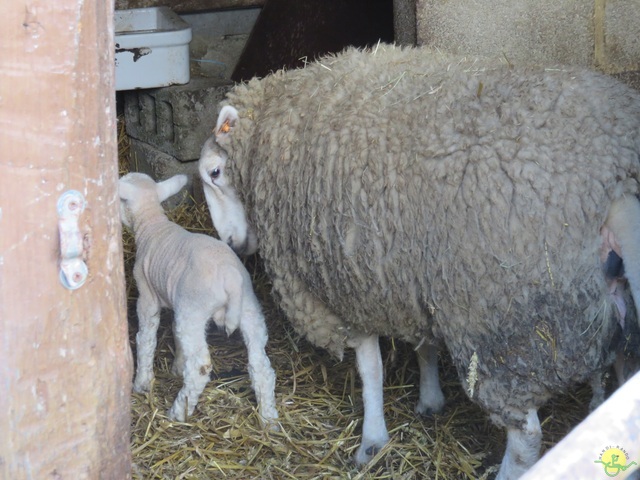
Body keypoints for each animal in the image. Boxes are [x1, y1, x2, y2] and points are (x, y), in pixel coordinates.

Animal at [119, 171, 278, 426]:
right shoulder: (178, 301)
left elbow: (146, 339)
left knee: (201, 367)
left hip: (195, 309)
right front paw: (177, 365)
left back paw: (178, 412)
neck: (152, 223)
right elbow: (175, 332)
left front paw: (142, 383)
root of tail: (230, 277)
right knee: (260, 365)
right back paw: (269, 419)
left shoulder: (147, 297)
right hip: (248, 307)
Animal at [199, 43, 640, 478]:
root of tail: (617, 173)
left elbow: (371, 369)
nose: (231, 243)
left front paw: (372, 440)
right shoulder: (408, 272)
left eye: (215, 173)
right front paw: (429, 398)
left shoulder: (346, 286)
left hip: (508, 325)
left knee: (525, 433)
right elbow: (424, 346)